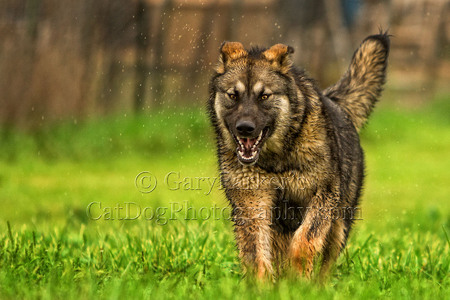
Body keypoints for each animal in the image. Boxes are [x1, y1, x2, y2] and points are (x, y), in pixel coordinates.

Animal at [207, 33, 386, 278]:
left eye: (264, 96)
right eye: (233, 96)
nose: (245, 128)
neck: (276, 159)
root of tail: (335, 103)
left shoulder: (322, 196)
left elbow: (305, 240)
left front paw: (299, 278)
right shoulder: (251, 201)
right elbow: (256, 253)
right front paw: (263, 284)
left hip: (340, 224)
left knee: (327, 260)